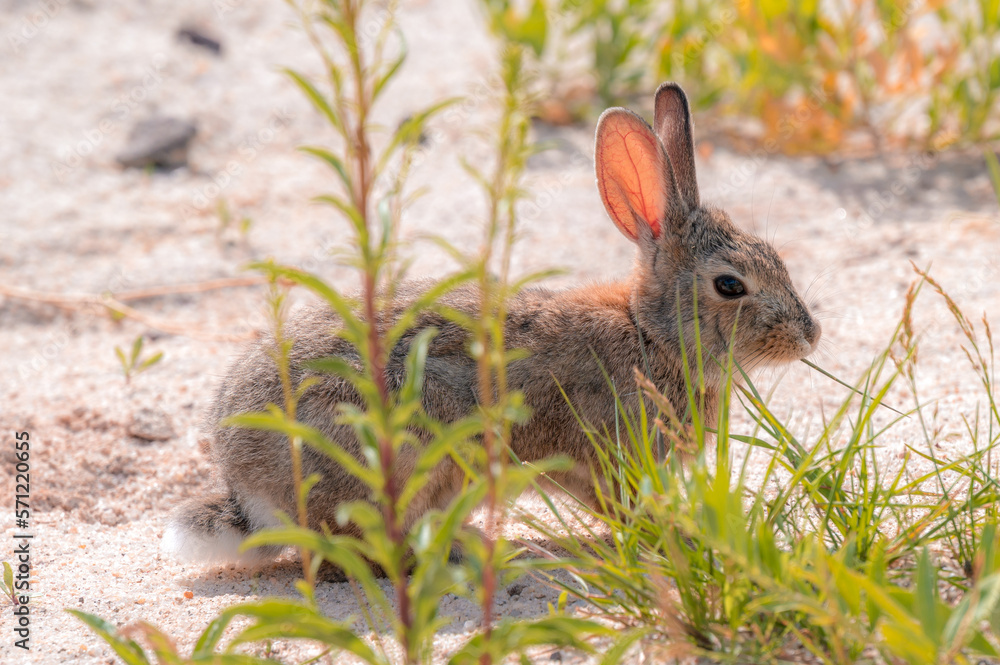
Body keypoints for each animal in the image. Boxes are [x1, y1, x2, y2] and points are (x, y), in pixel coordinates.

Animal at [162, 83, 821, 564]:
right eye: (730, 285)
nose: (809, 335)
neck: (651, 332)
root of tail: (249, 491)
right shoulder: (603, 458)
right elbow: (621, 507)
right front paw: (671, 539)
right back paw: (467, 550)